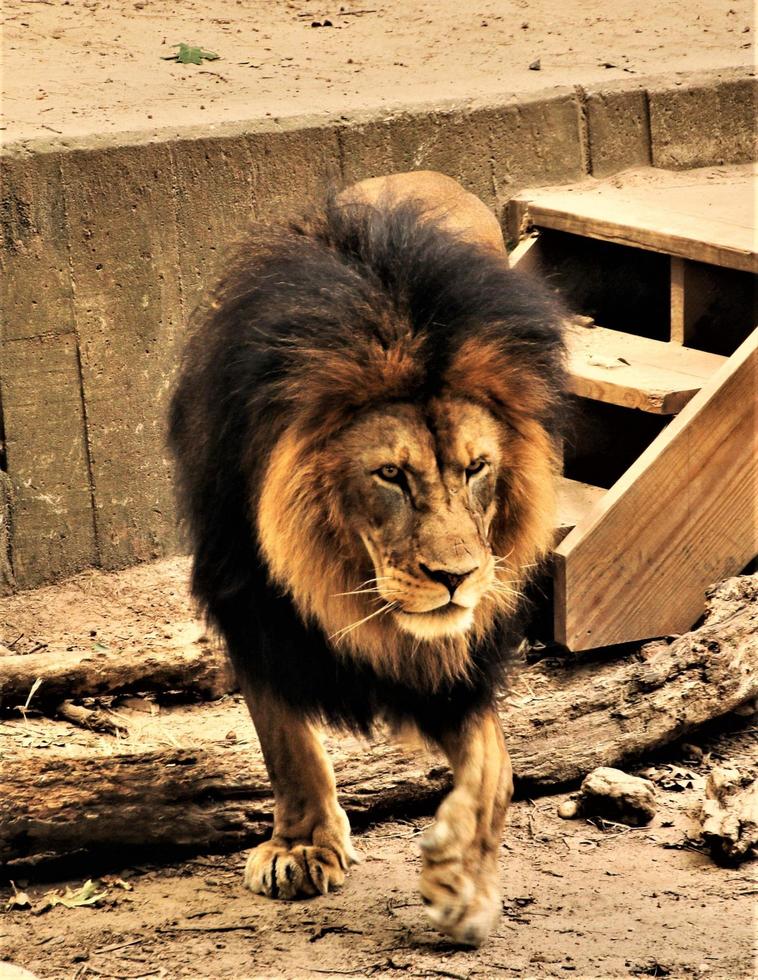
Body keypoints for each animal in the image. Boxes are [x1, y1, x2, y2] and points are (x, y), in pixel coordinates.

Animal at [169, 172, 568, 944]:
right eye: (390, 475)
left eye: (477, 467)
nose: (456, 578)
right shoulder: (253, 606)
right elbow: (286, 740)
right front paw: (301, 848)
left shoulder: (460, 660)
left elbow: (493, 766)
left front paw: (461, 877)